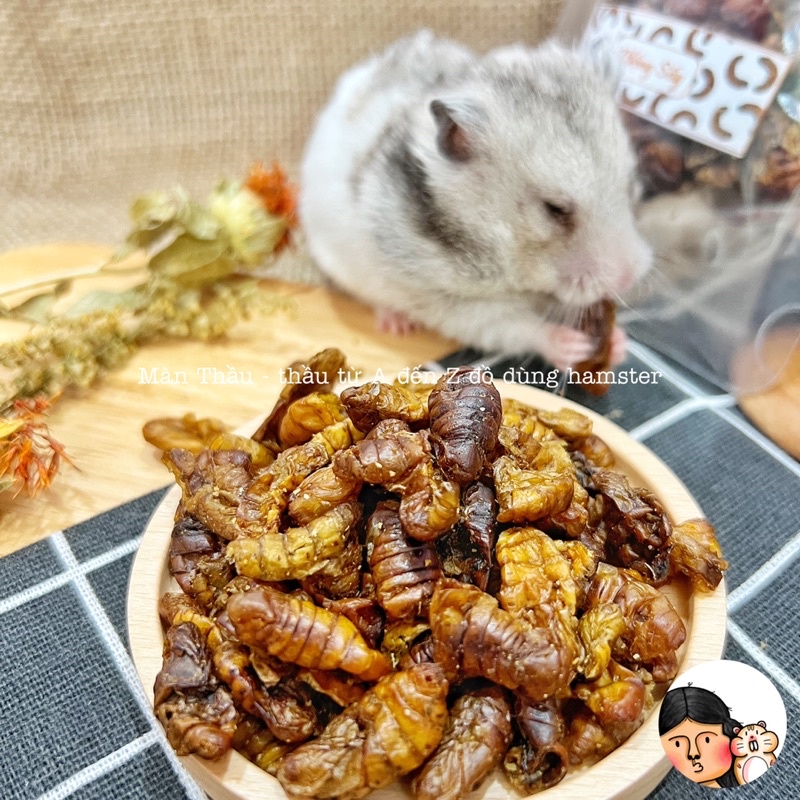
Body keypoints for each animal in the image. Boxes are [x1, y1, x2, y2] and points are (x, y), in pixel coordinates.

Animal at [300, 30, 652, 369]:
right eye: (554, 209)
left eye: (631, 185)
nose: (628, 280)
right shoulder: (449, 302)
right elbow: (513, 326)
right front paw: (572, 345)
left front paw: (619, 344)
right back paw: (397, 324)